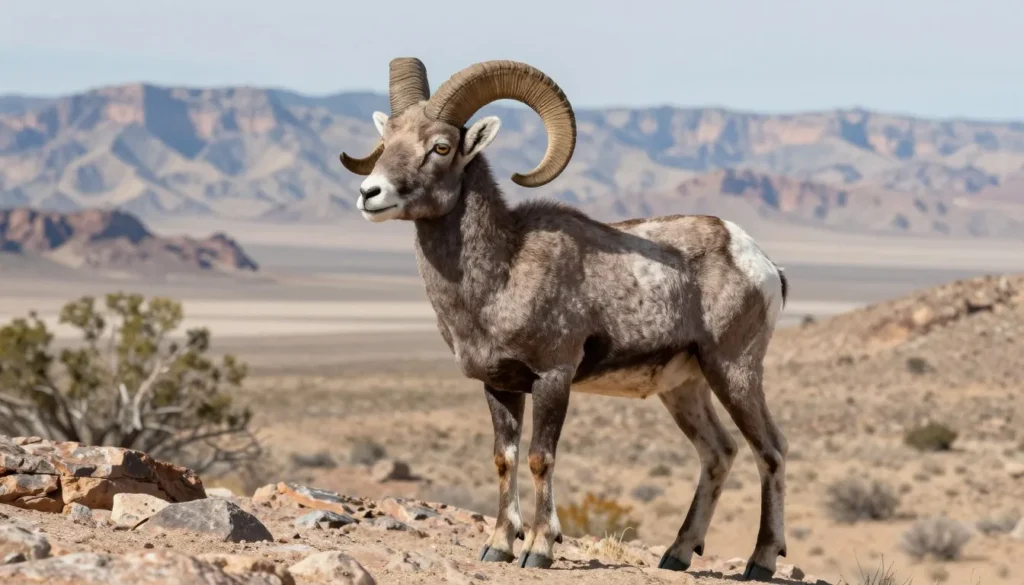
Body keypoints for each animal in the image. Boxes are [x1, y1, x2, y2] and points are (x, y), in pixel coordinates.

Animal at [339, 57, 790, 581]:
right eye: (387, 139)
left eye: (441, 146)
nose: (370, 193)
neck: (503, 272)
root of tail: (760, 263)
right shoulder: (500, 385)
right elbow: (505, 459)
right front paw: (498, 546)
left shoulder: (553, 378)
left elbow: (540, 458)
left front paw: (539, 549)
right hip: (685, 388)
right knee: (718, 453)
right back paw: (676, 554)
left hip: (734, 372)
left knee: (770, 450)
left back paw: (760, 562)